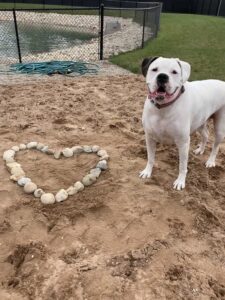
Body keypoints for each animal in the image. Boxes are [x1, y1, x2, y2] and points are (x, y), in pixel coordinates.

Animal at [140, 56, 224, 190]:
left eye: (174, 72)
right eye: (154, 69)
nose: (162, 76)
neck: (163, 108)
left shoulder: (183, 143)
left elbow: (182, 166)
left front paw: (180, 181)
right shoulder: (149, 137)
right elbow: (150, 158)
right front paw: (147, 171)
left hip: (220, 127)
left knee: (216, 145)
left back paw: (211, 161)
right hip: (200, 121)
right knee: (205, 134)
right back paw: (200, 150)